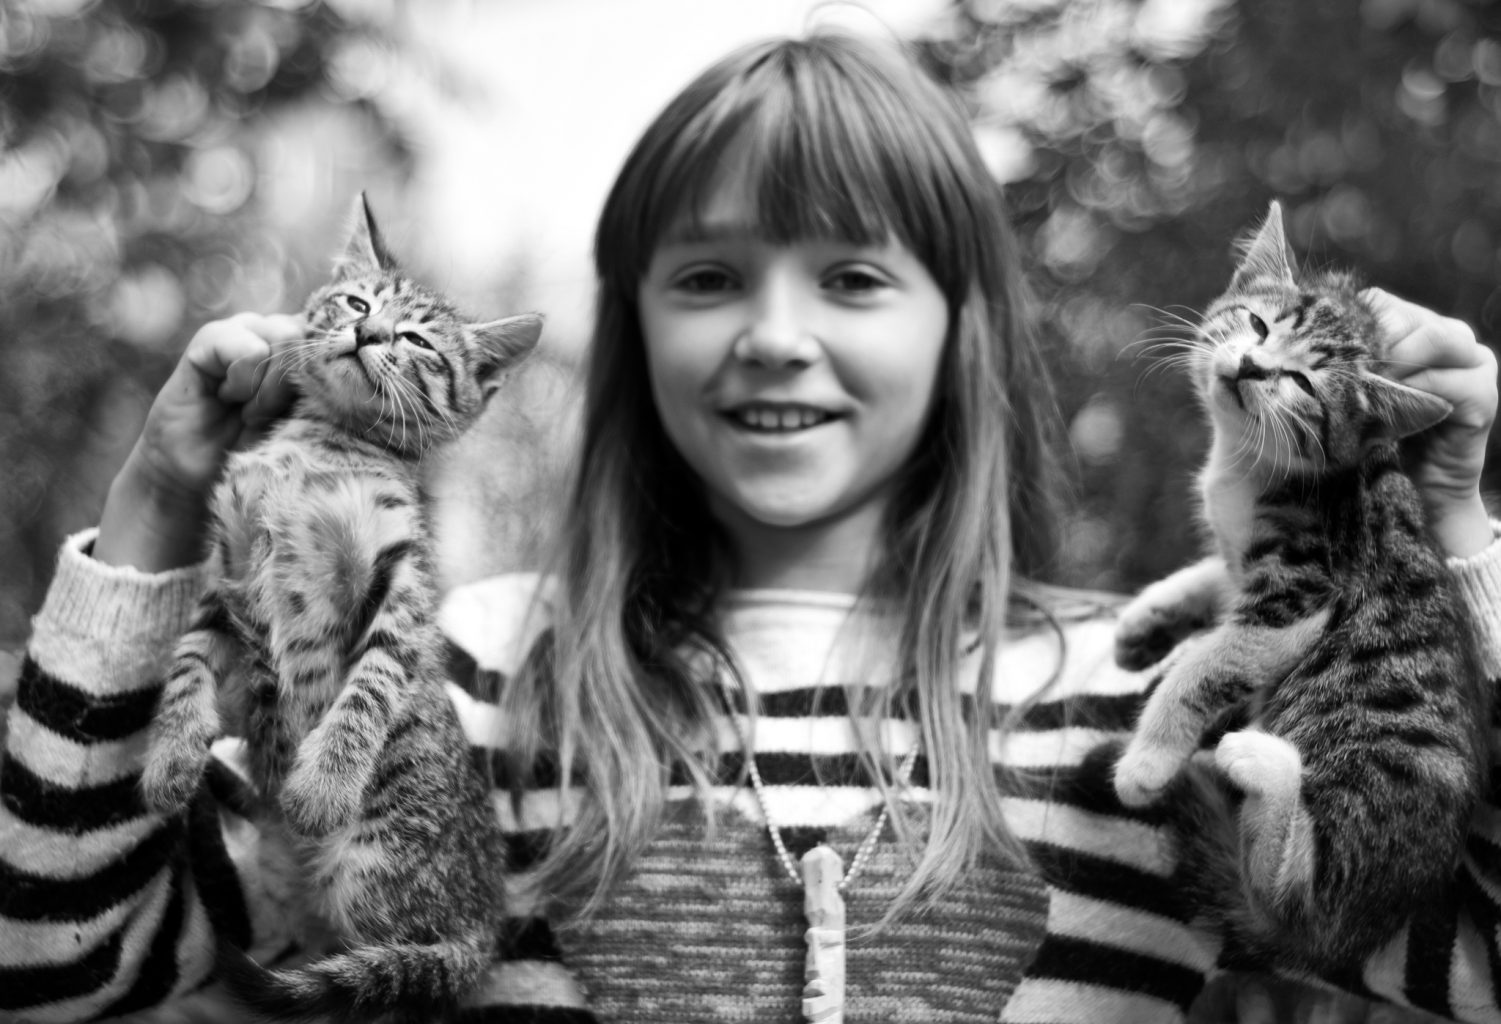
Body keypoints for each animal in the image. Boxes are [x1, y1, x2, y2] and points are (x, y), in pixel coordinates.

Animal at [141, 193, 539, 1021]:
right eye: (358, 303)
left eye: (417, 340)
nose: (369, 333)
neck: (324, 446)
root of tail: (481, 931)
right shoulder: (227, 578)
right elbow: (188, 663)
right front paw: (169, 755)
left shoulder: (403, 583)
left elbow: (370, 686)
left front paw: (325, 782)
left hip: (376, 876)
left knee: (388, 974)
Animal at [1110, 200, 1489, 971]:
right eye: (1258, 326)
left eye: (1305, 384)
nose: (1254, 367)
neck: (1242, 462)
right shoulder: (1241, 557)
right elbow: (1213, 576)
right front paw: (1146, 622)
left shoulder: (1302, 593)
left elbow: (1212, 661)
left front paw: (1147, 759)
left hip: (1360, 782)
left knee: (1289, 890)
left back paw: (1262, 766)